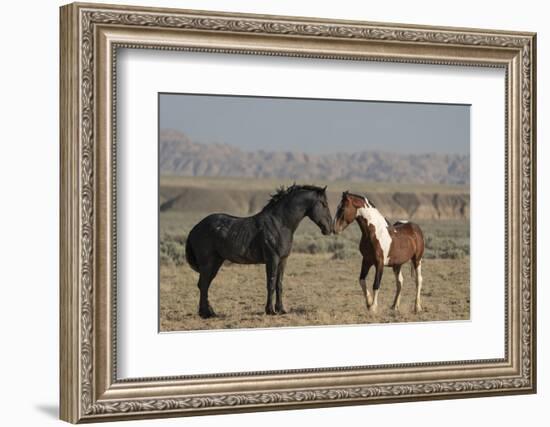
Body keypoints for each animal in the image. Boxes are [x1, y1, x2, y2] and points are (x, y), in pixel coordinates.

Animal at [187, 186, 332, 320]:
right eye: (324, 204)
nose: (329, 228)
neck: (280, 224)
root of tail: (195, 228)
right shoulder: (272, 259)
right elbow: (271, 283)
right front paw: (270, 311)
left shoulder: (283, 260)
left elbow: (279, 284)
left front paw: (281, 309)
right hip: (208, 263)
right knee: (203, 285)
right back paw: (206, 314)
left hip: (216, 262)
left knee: (204, 284)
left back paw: (210, 312)